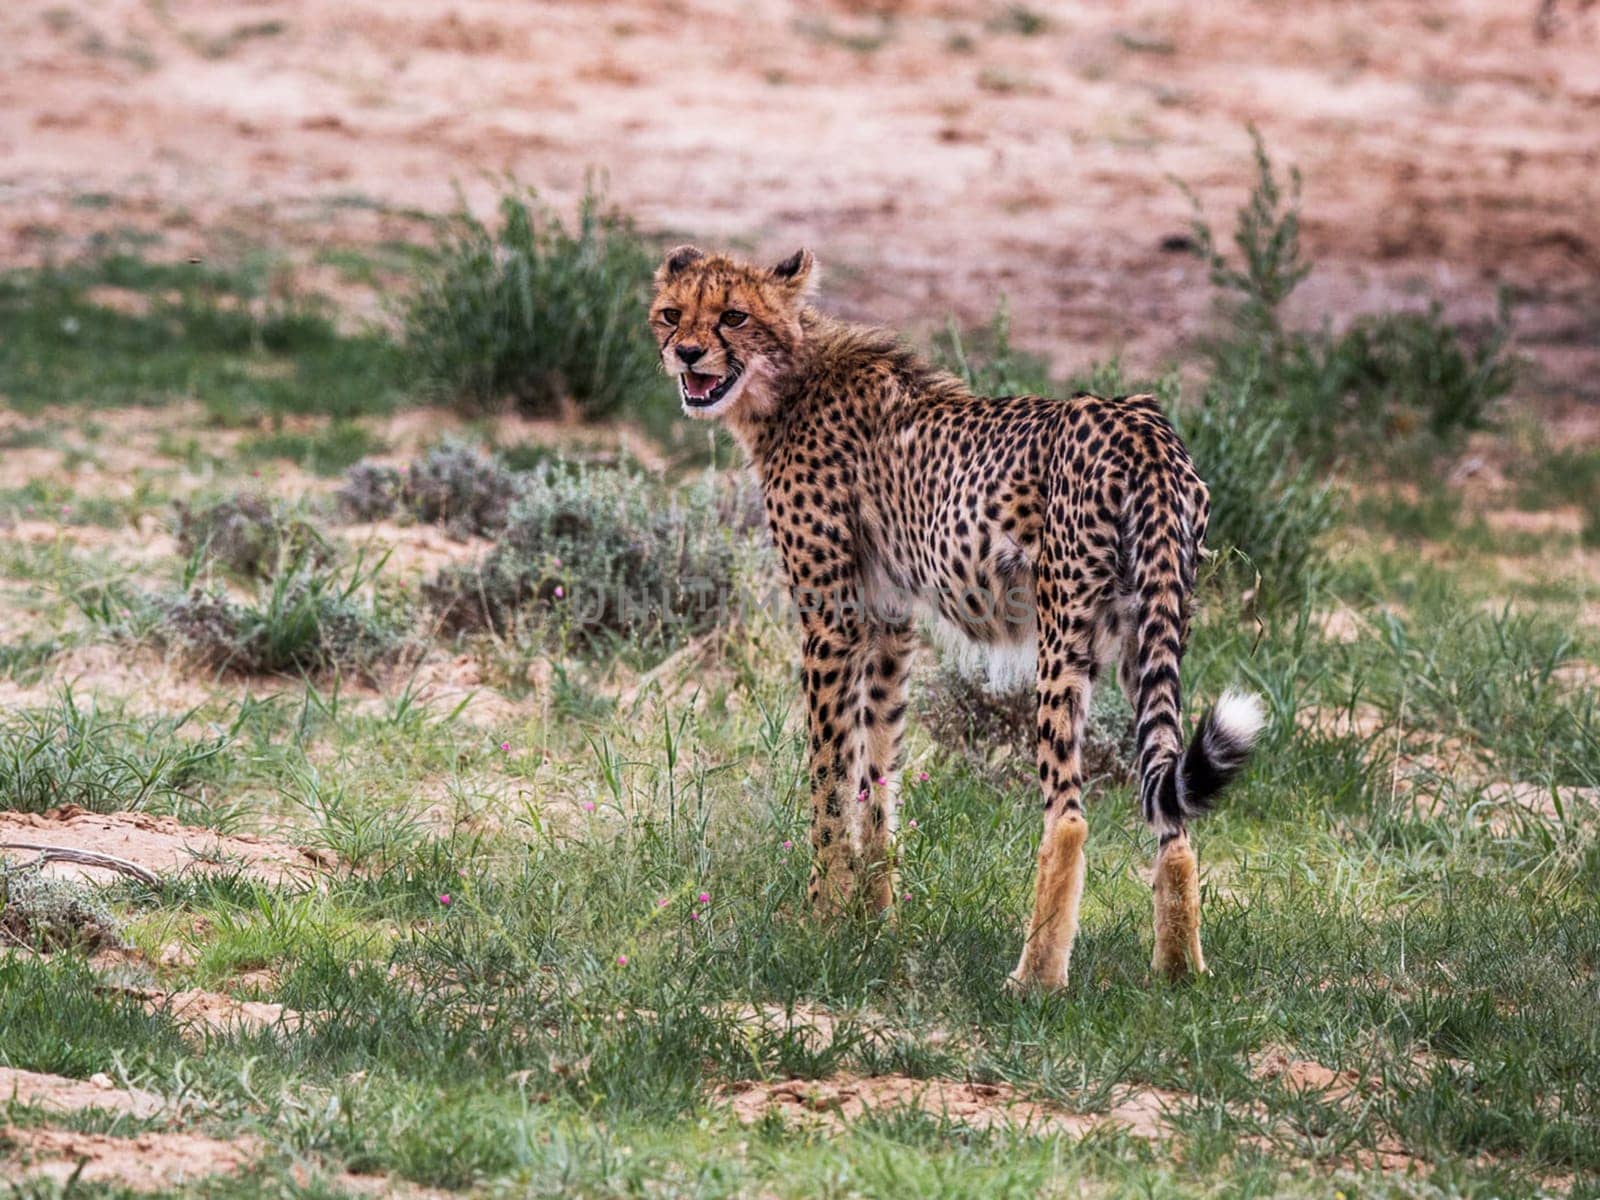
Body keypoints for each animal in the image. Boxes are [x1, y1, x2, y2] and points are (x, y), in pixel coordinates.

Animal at [646, 249, 1260, 992]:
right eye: (673, 313)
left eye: (734, 316)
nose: (686, 352)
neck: (791, 379)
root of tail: (1142, 425)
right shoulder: (888, 621)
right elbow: (877, 772)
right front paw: (873, 918)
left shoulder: (831, 620)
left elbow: (829, 776)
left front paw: (820, 917)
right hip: (1150, 634)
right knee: (1170, 807)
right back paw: (1178, 974)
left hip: (1062, 639)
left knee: (1069, 817)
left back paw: (1034, 980)